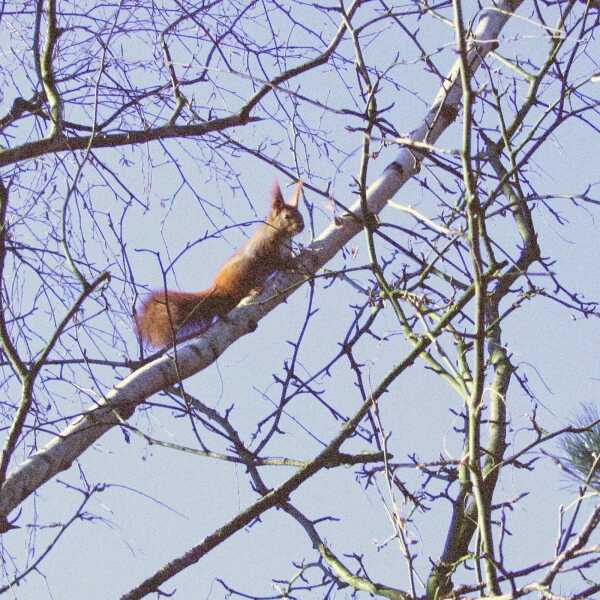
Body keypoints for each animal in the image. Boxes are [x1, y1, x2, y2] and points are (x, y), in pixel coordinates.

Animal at [136, 180, 304, 346]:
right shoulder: (264, 249)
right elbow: (274, 262)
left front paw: (293, 259)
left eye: (301, 214)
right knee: (235, 293)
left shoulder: (285, 250)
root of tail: (217, 288)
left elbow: (286, 257)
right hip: (239, 274)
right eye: (287, 216)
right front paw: (287, 265)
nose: (302, 226)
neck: (283, 235)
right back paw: (252, 290)